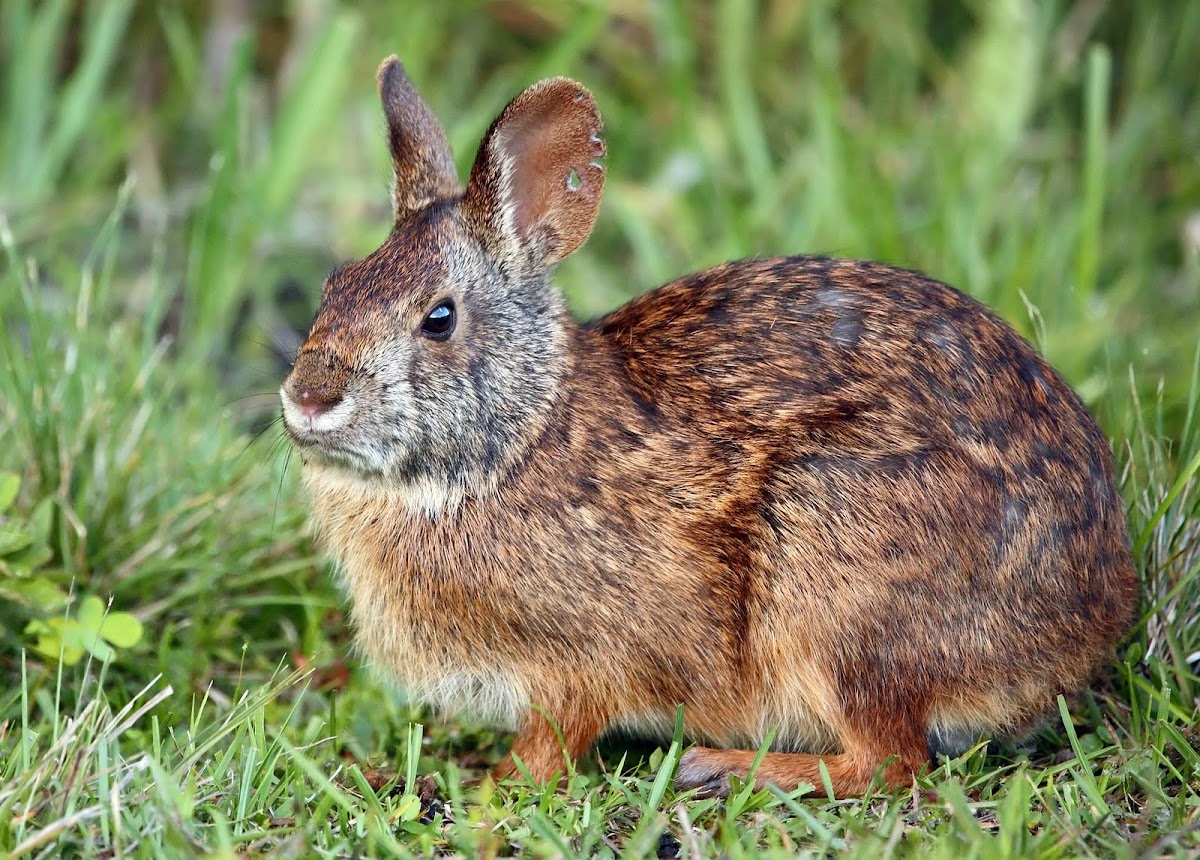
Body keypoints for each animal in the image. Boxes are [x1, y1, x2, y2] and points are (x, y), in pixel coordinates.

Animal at [279, 56, 1138, 797]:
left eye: (439, 319)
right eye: (335, 286)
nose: (309, 398)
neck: (513, 442)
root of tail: (1089, 621)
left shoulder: (585, 661)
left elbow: (554, 741)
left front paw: (485, 787)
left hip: (832, 586)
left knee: (891, 761)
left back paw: (726, 767)